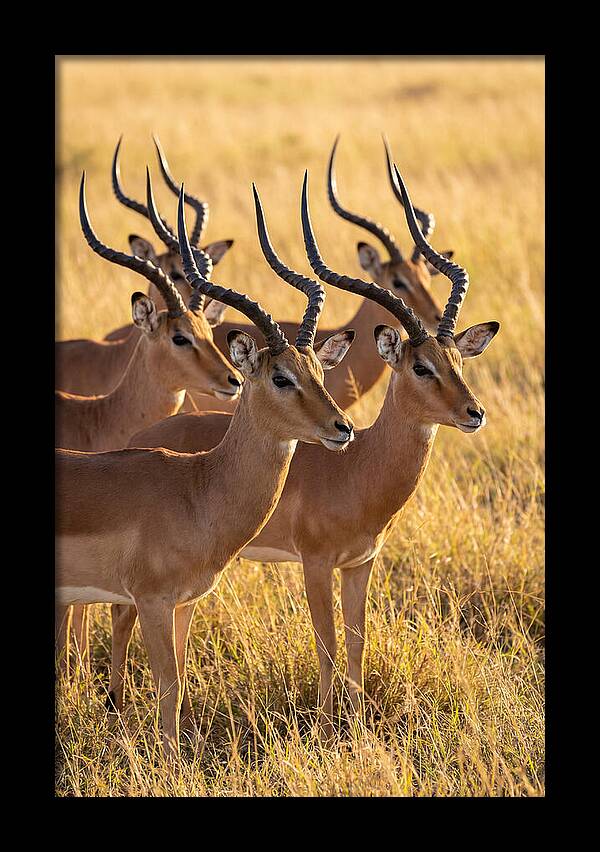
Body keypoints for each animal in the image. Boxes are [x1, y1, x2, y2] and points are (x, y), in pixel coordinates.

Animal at [55, 183, 356, 760]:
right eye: (281, 377)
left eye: (317, 370)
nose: (342, 428)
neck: (198, 491)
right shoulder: (150, 600)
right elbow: (168, 686)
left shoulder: (184, 604)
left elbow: (180, 681)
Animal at [117, 167, 499, 739]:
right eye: (421, 366)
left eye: (458, 360)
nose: (474, 413)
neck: (359, 468)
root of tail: (141, 438)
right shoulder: (315, 563)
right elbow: (328, 645)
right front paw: (324, 726)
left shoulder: (361, 564)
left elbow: (358, 644)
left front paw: (357, 725)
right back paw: (115, 703)